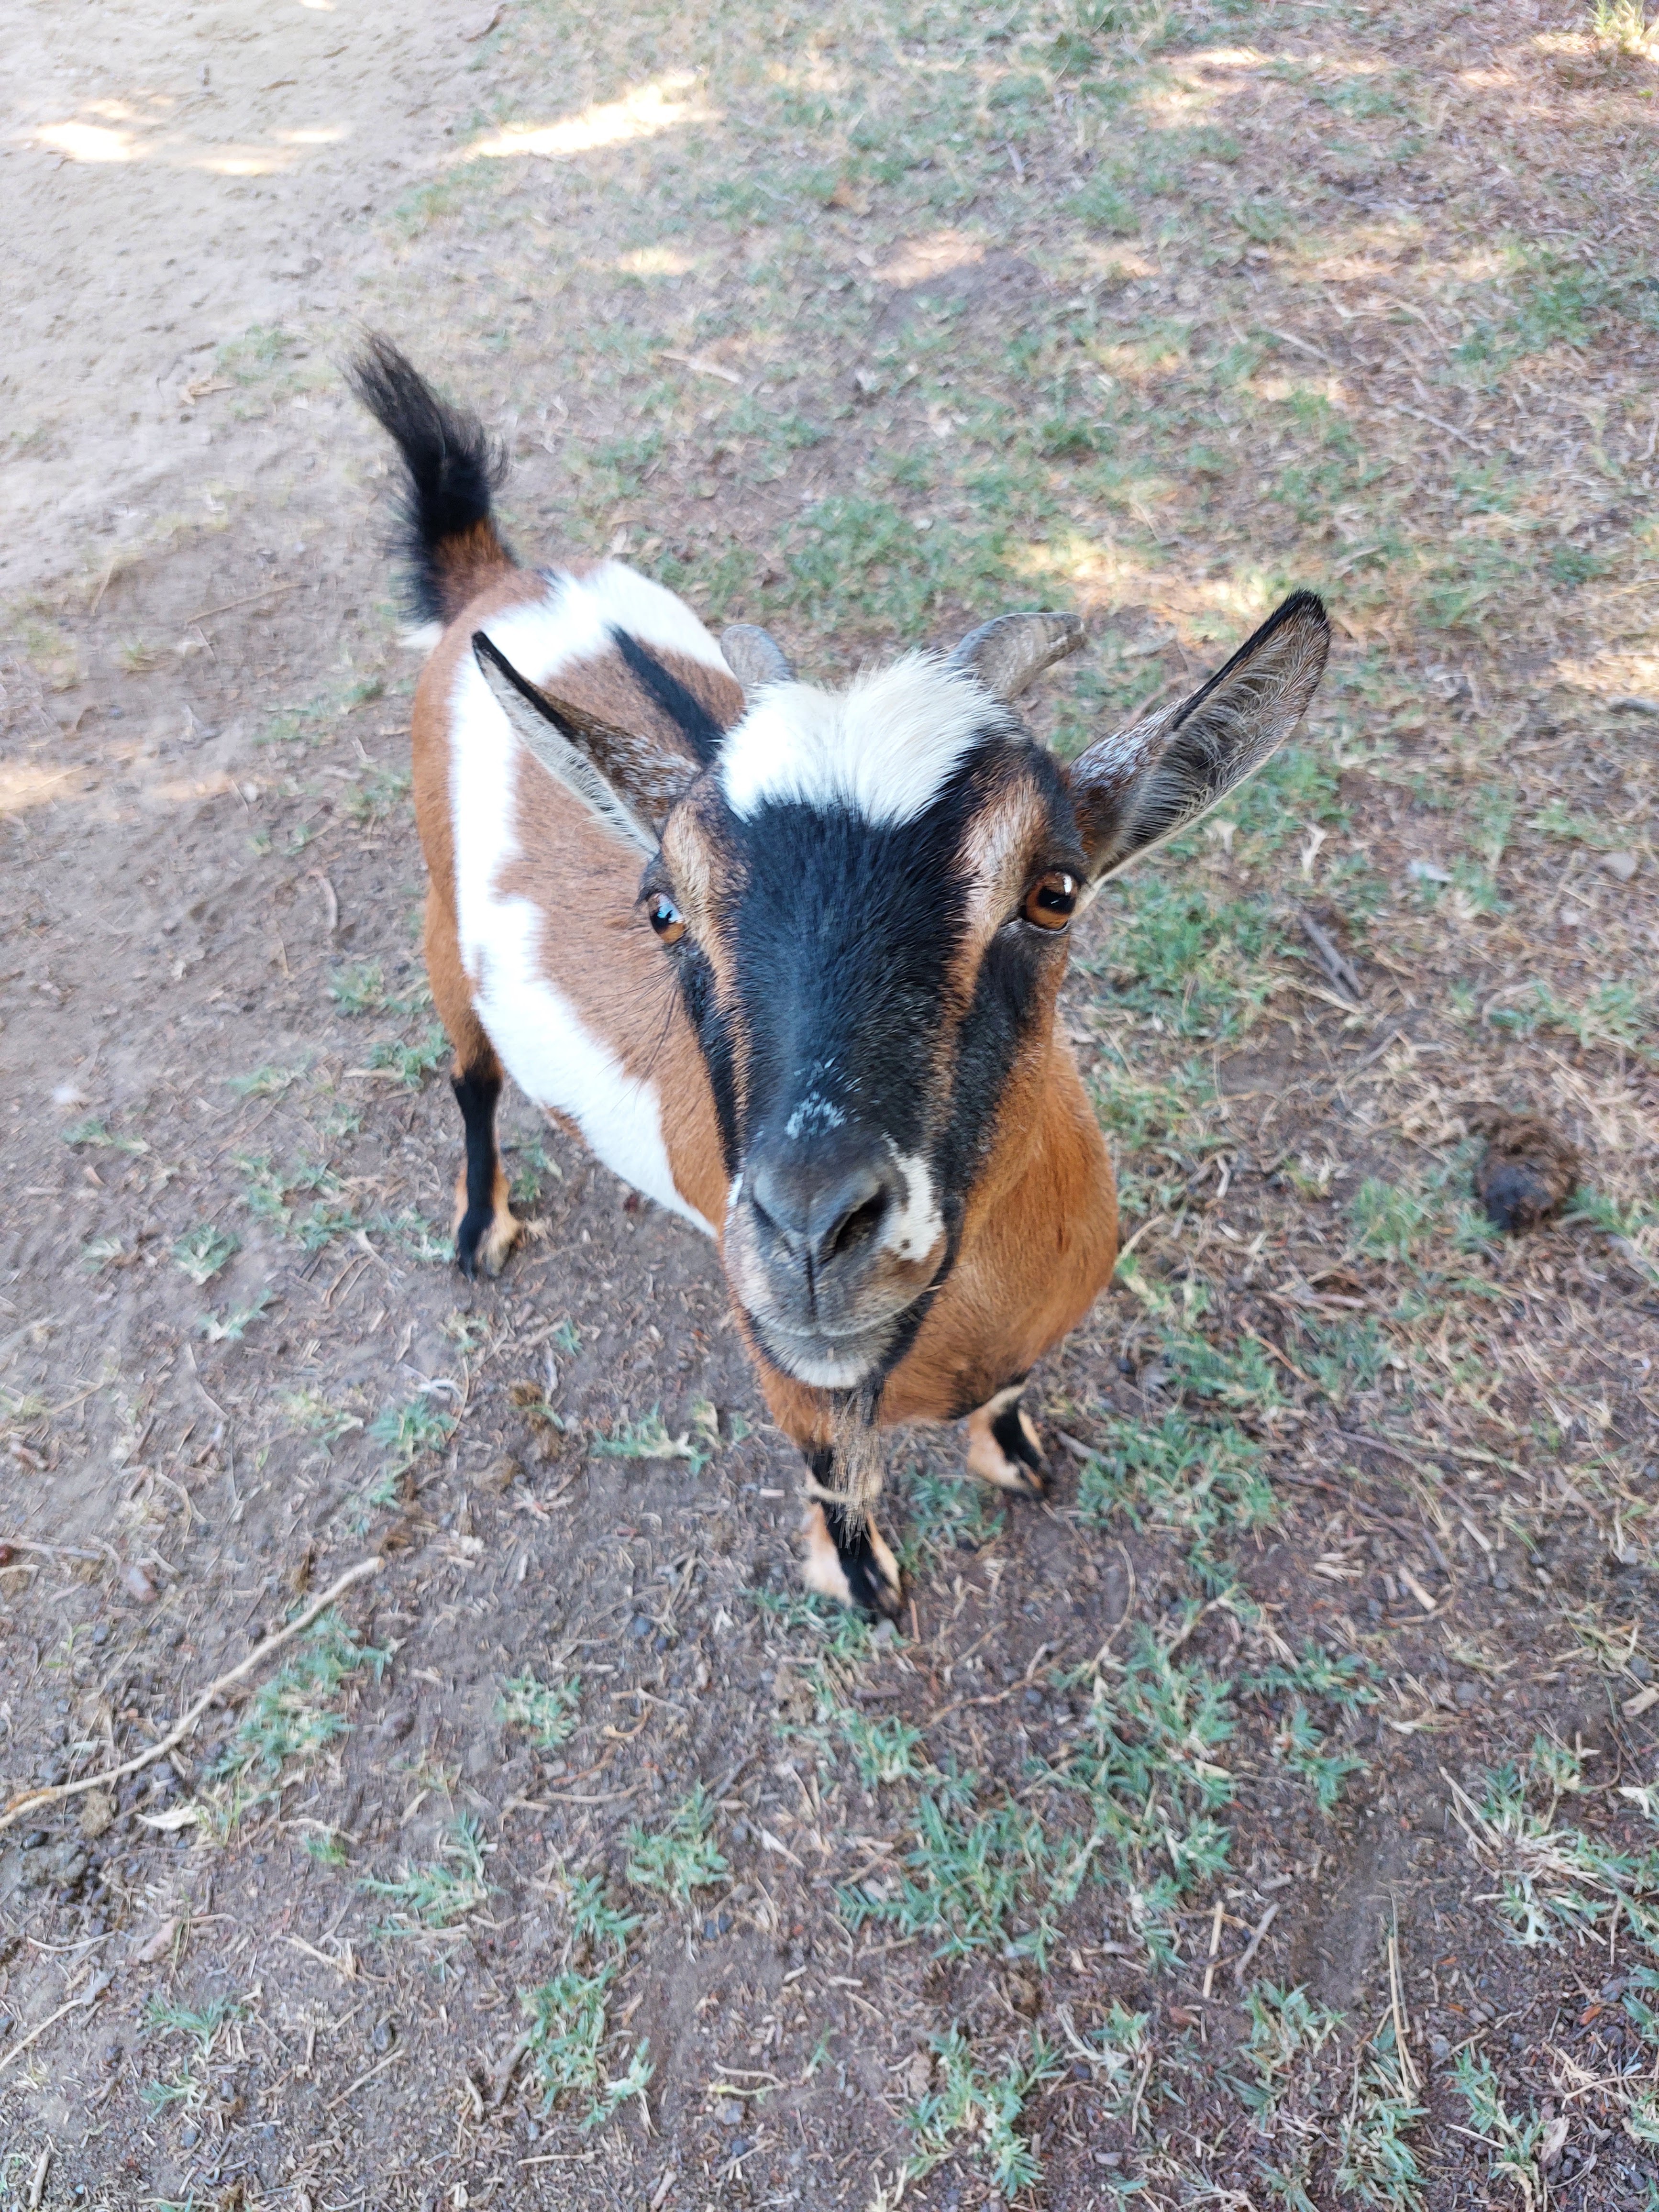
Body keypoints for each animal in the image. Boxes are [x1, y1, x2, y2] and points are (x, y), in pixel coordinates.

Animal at [348, 337, 1329, 1615]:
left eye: (1055, 890)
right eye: (663, 906)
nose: (813, 1234)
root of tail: (501, 578)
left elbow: (1008, 1400)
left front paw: (1015, 1459)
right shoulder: (790, 1372)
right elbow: (832, 1472)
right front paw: (865, 1581)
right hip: (436, 918)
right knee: (468, 1077)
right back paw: (481, 1229)